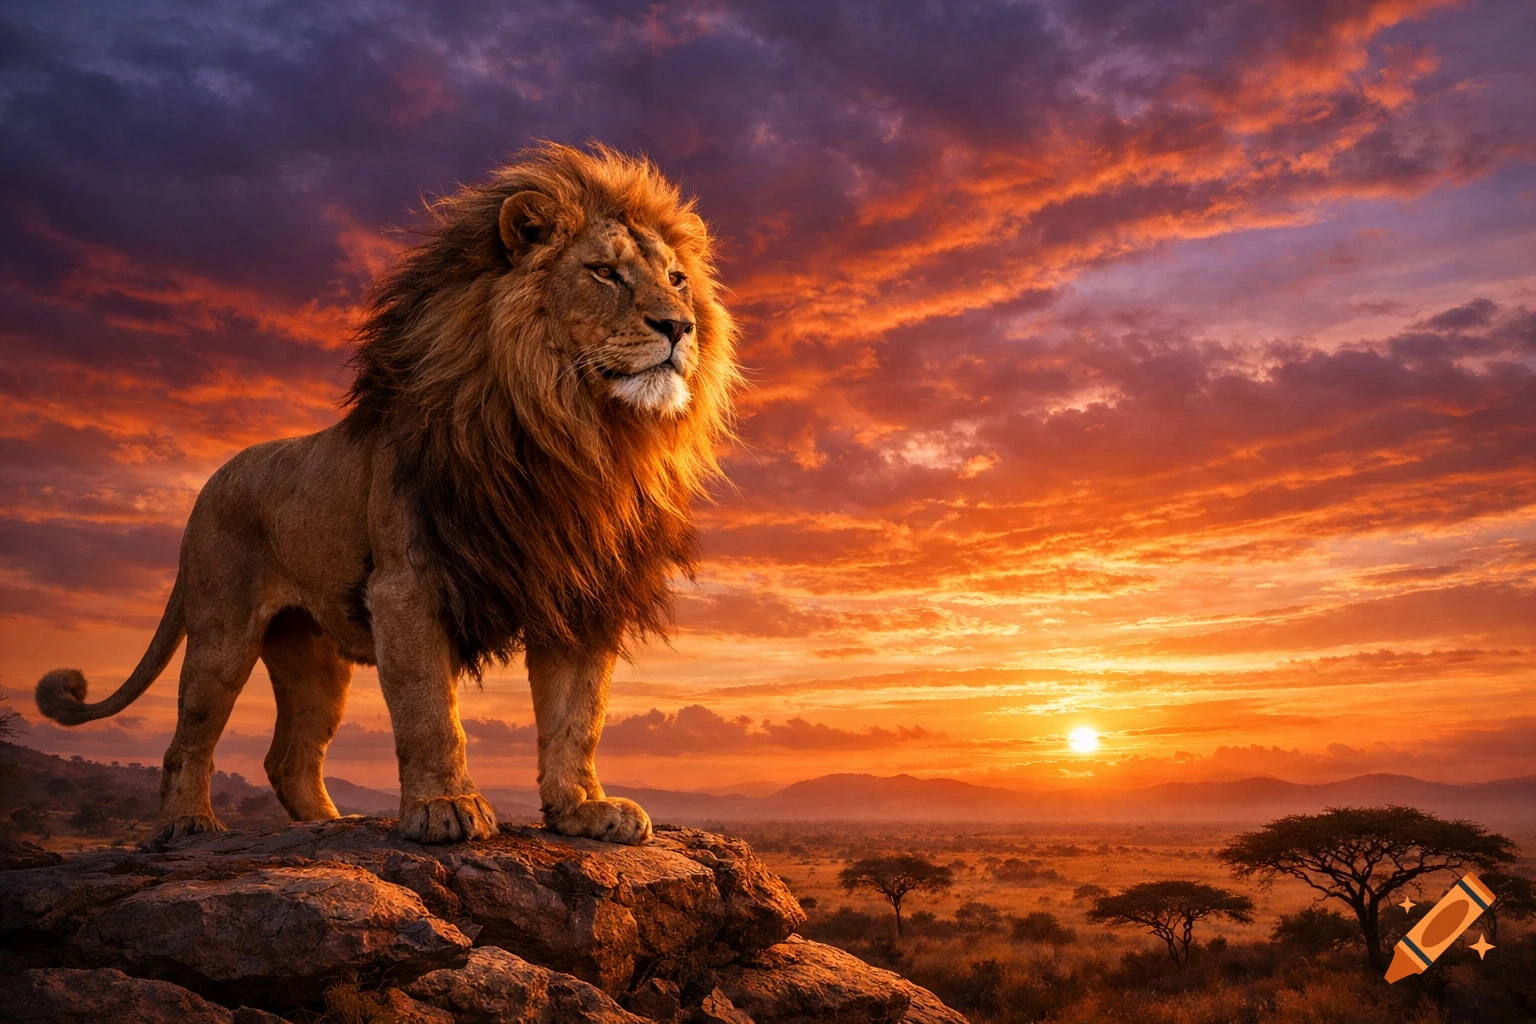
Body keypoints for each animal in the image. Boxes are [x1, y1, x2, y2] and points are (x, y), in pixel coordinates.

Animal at [34, 142, 740, 846]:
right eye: (604, 273)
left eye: (677, 279)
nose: (679, 327)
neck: (572, 431)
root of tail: (212, 479)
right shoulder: (408, 585)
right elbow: (430, 711)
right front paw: (446, 806)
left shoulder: (581, 591)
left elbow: (579, 714)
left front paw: (583, 808)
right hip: (221, 632)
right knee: (189, 738)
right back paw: (189, 823)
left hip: (314, 658)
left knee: (289, 755)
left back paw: (333, 824)